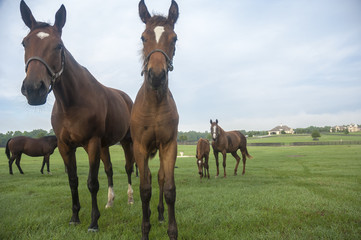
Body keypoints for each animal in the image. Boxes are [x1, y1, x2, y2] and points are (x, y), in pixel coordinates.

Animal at [19, 0, 134, 232]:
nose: (34, 89)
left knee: (128, 168)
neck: (72, 103)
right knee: (109, 170)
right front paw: (74, 217)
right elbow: (73, 180)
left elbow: (92, 183)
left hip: (126, 141)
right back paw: (110, 202)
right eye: (25, 43)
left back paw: (130, 199)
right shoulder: (65, 146)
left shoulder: (92, 143)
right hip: (105, 145)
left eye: (59, 46)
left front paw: (93, 222)